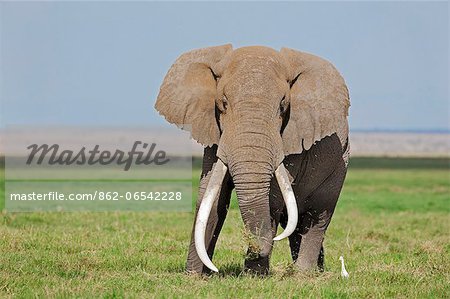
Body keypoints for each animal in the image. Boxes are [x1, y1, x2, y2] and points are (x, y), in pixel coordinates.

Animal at [156, 45, 352, 276]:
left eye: (283, 105)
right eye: (223, 103)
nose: (252, 249)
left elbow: (272, 198)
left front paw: (254, 277)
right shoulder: (215, 132)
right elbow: (211, 196)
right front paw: (195, 276)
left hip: (339, 166)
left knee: (316, 219)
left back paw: (303, 274)